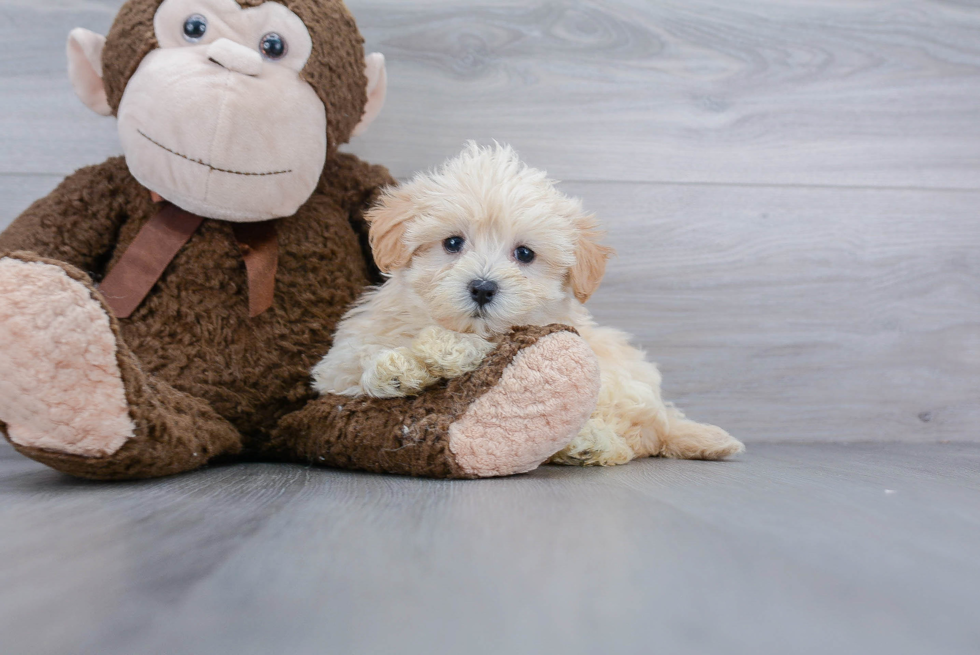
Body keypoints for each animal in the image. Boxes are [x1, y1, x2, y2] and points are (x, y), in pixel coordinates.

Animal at [314, 144, 744, 466]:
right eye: (452, 243)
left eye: (524, 254)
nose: (483, 288)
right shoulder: (337, 366)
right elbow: (355, 364)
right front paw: (396, 370)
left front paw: (445, 349)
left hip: (613, 381)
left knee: (635, 436)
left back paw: (590, 444)